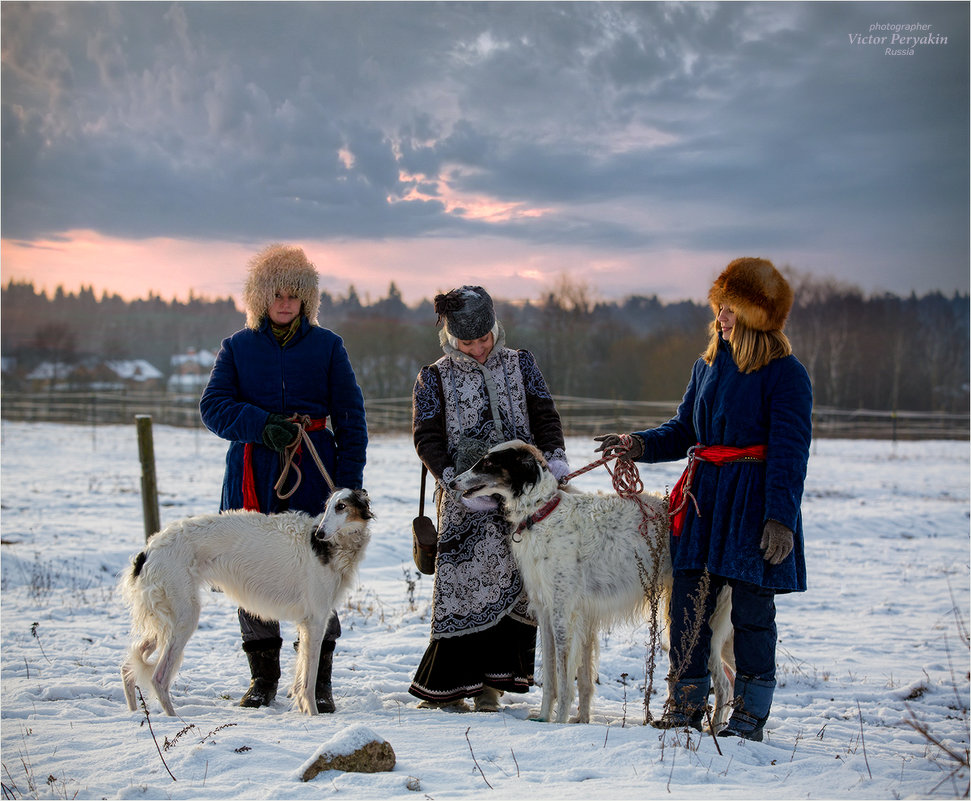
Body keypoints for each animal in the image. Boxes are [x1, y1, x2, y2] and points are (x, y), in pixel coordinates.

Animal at [117, 488, 368, 720]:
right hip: (184, 618)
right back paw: (173, 720)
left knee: (128, 667)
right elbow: (307, 682)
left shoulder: (308, 623)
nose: (320, 533)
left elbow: (300, 678)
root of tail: (148, 550)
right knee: (158, 678)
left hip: (165, 620)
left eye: (341, 506)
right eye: (328, 506)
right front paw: (314, 716)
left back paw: (133, 712)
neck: (328, 547)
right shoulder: (316, 620)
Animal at [452, 440, 732, 728]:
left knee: (723, 683)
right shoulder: (546, 610)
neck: (542, 513)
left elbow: (565, 677)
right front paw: (545, 717)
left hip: (701, 622)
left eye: (488, 463)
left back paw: (717, 728)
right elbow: (553, 676)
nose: (452, 482)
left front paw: (560, 721)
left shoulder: (563, 612)